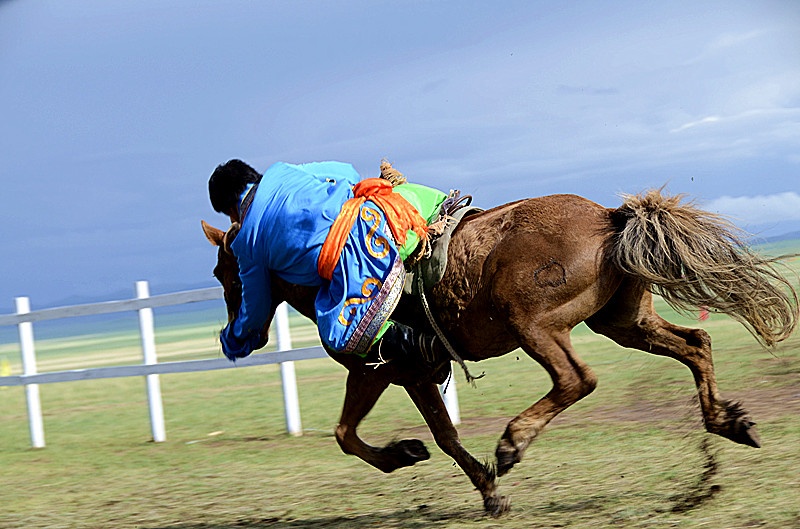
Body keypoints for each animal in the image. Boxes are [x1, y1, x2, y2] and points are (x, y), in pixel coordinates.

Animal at [198, 188, 792, 512]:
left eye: (226, 271)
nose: (237, 338)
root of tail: (610, 218)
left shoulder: (396, 371)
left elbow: (425, 435)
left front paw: (479, 483)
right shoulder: (389, 374)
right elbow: (354, 434)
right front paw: (410, 456)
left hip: (534, 324)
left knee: (577, 379)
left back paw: (513, 442)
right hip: (623, 323)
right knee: (696, 343)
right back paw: (729, 422)